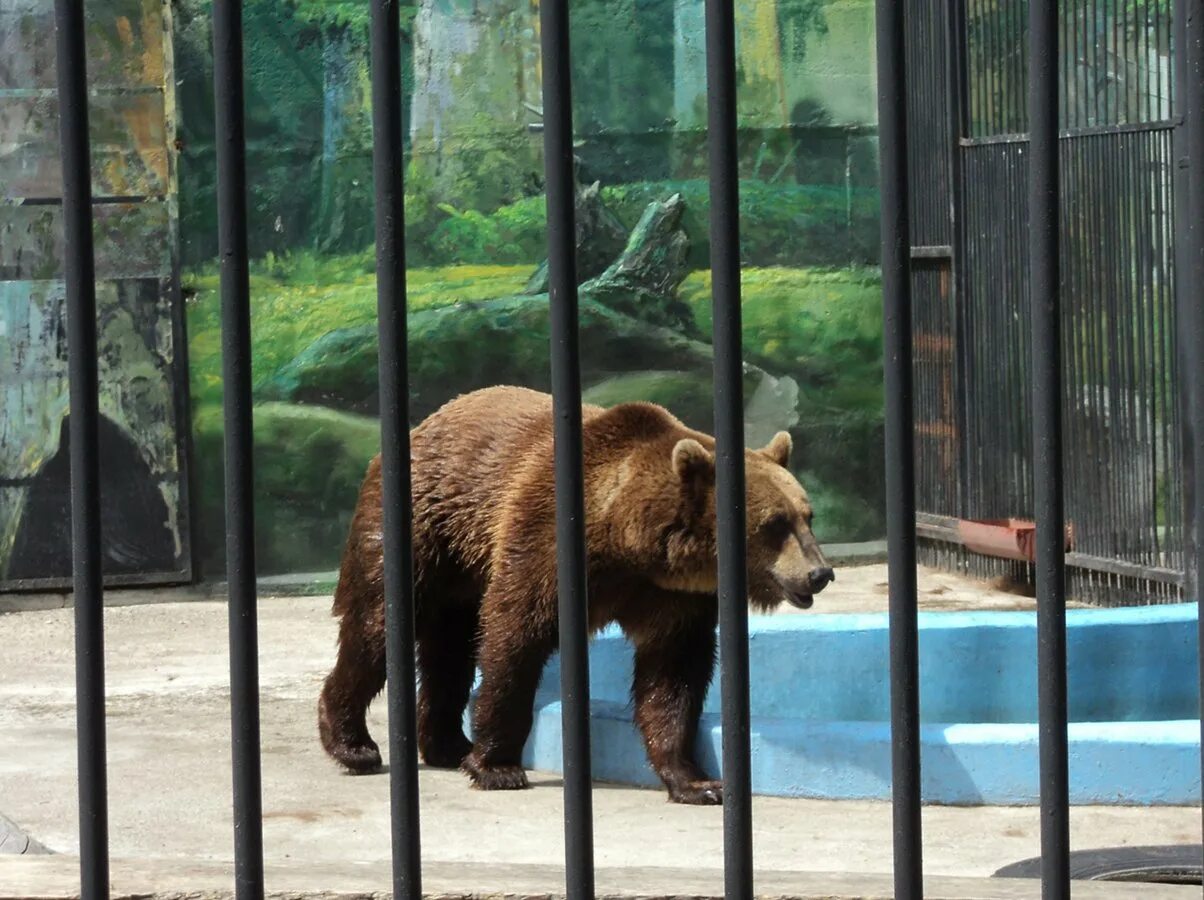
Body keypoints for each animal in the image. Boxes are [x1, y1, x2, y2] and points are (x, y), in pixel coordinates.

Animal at [315, 382, 833, 803]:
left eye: (806, 516)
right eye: (775, 523)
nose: (819, 573)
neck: (630, 542)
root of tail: (424, 425)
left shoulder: (673, 598)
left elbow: (673, 677)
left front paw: (696, 781)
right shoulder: (545, 542)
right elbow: (514, 637)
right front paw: (497, 765)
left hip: (459, 569)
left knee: (449, 650)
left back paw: (446, 744)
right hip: (424, 527)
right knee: (378, 626)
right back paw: (353, 743)